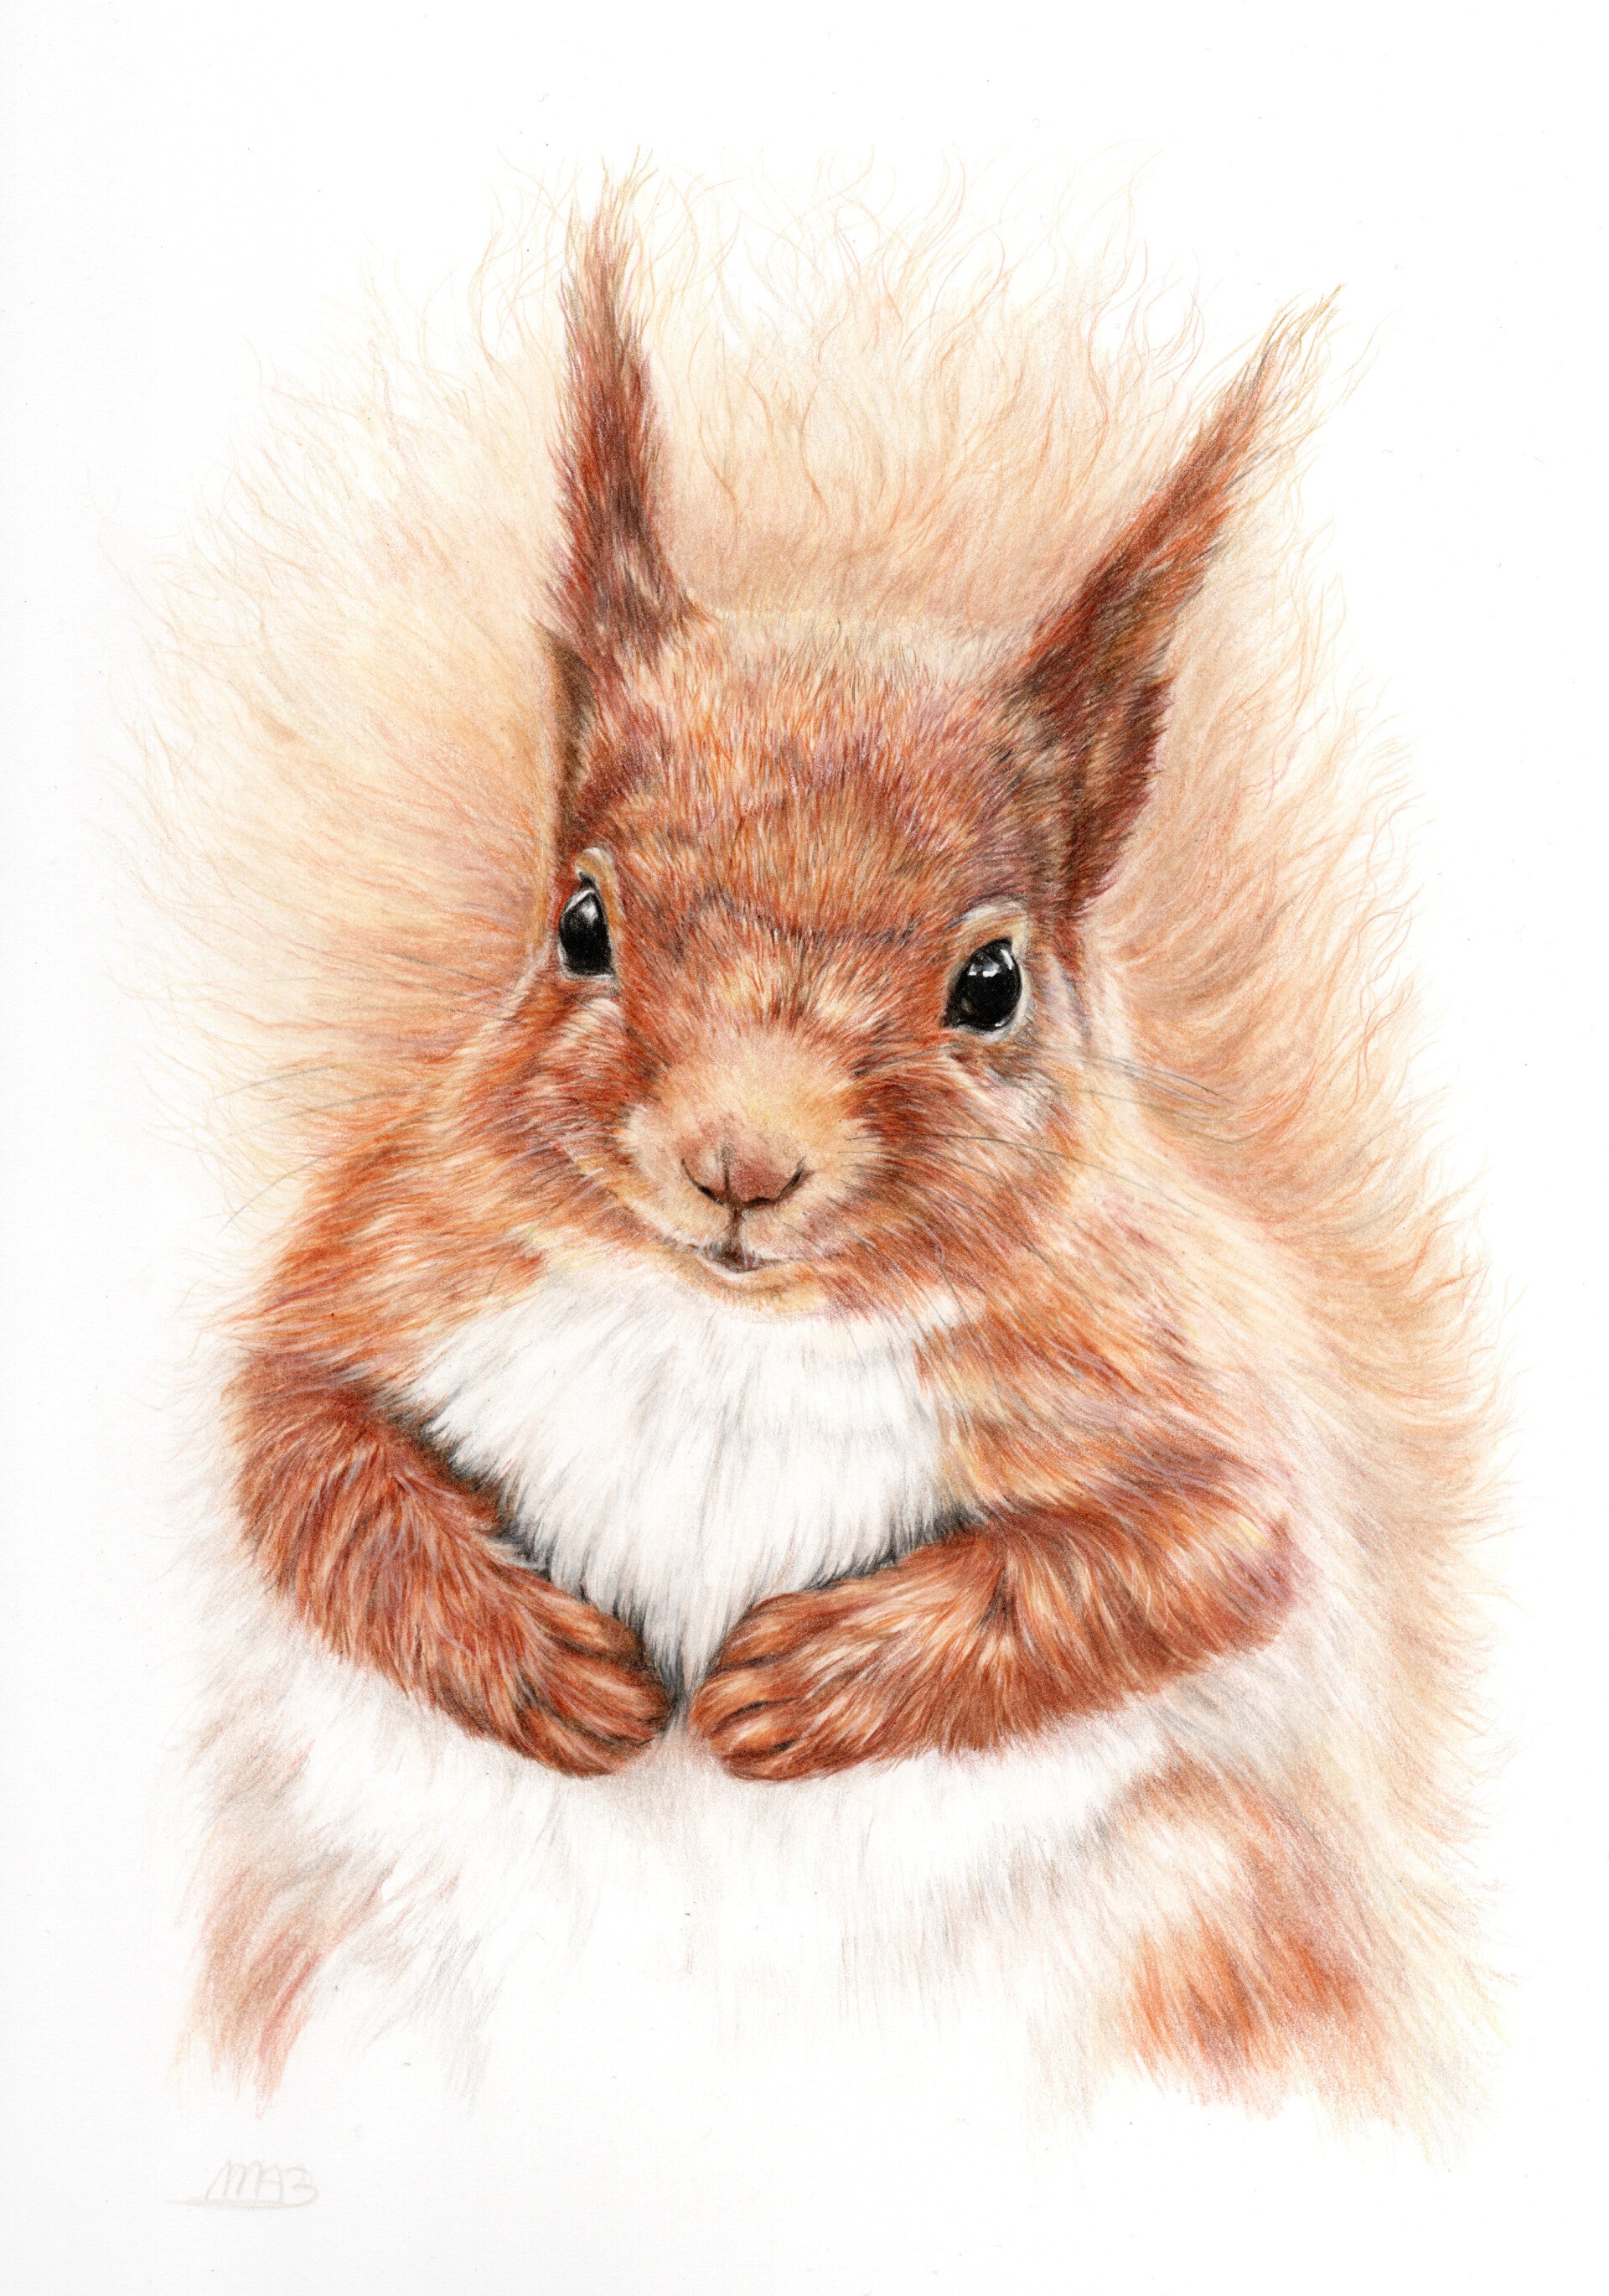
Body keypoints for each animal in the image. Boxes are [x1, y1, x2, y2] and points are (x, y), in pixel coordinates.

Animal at [158, 185, 1495, 2126]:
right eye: (580, 924)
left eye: (992, 980)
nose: (741, 1163)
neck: (734, 1333)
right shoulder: (388, 1260)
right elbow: (303, 1462)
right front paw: (556, 1674)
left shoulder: (1187, 1402)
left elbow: (1194, 1562)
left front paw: (791, 1690)